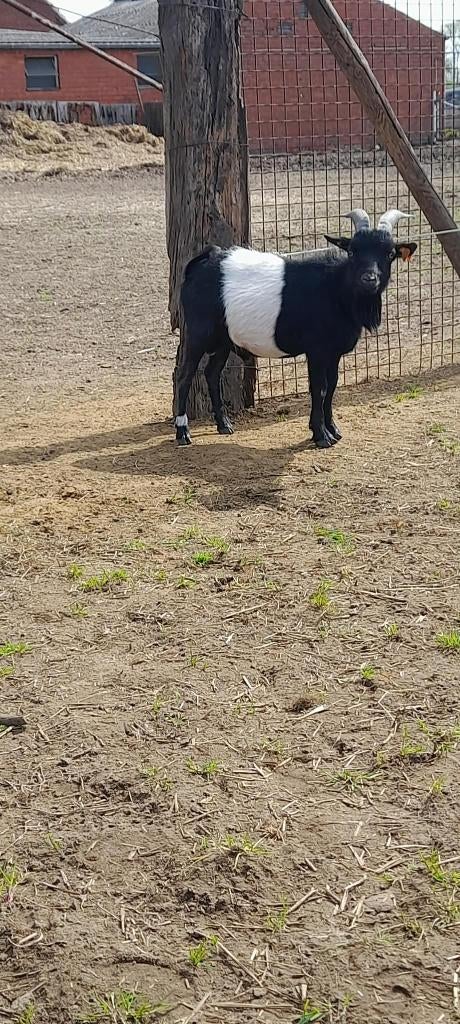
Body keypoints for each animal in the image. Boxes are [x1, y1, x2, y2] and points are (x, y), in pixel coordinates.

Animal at [175, 208, 417, 449]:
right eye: (352, 251)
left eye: (389, 254)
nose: (369, 279)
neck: (336, 288)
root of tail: (206, 258)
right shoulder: (317, 350)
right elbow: (319, 388)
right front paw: (321, 436)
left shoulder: (334, 353)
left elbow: (332, 386)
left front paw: (333, 430)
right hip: (197, 333)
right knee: (184, 376)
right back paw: (183, 433)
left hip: (224, 339)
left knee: (211, 373)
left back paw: (224, 425)